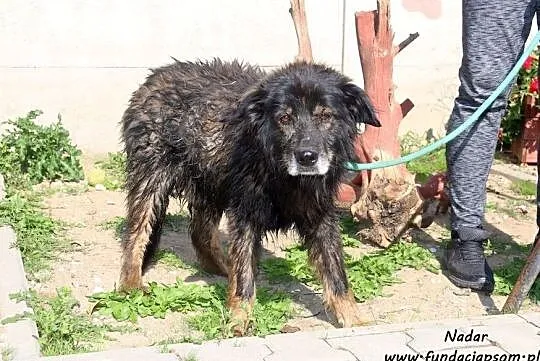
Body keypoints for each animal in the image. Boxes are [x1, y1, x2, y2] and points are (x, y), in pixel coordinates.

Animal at [118, 58, 380, 332]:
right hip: (152, 178)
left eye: (325, 115)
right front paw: (238, 319)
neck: (285, 177)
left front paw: (355, 319)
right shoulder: (245, 214)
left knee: (200, 232)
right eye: (284, 118)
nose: (307, 157)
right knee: (137, 233)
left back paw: (223, 268)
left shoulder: (320, 215)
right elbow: (244, 276)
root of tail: (154, 77)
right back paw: (131, 284)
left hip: (211, 184)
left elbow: (336, 273)